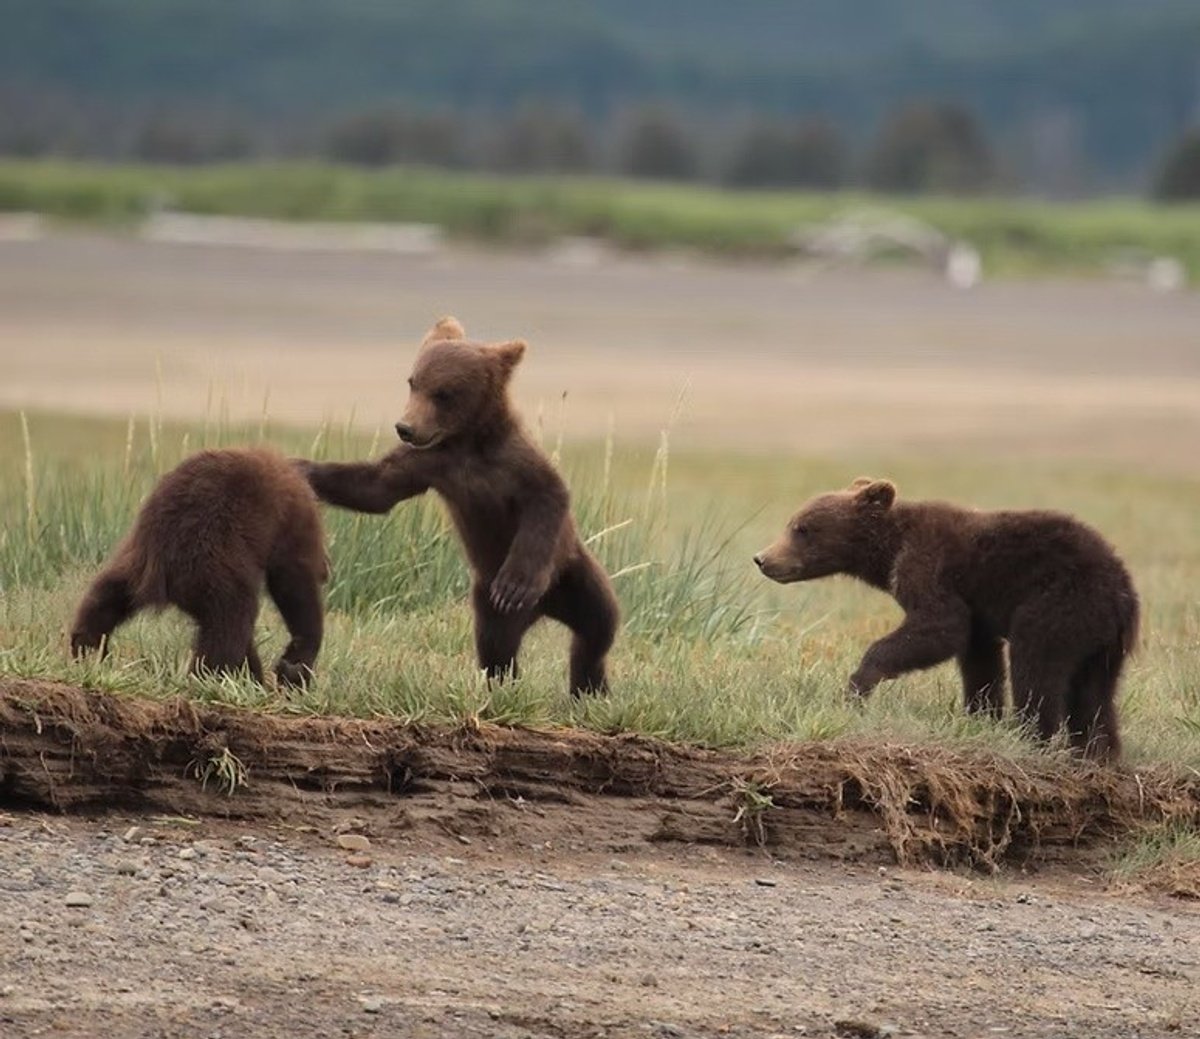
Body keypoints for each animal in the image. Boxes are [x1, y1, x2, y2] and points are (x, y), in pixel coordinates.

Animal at [71, 447, 328, 687]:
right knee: (229, 625)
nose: (327, 569)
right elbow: (294, 582)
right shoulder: (288, 525)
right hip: (214, 565)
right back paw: (212, 678)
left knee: (105, 597)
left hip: (138, 561)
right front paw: (296, 664)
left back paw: (86, 649)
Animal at [294, 317, 619, 696]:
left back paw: (590, 686)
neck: (468, 442)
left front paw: (515, 585)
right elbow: (375, 486)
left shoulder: (513, 461)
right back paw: (506, 684)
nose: (405, 427)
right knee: (497, 648)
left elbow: (548, 495)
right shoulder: (430, 463)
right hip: (487, 603)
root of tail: (542, 611)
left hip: (572, 574)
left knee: (598, 623)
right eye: (413, 382)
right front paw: (300, 467)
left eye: (443, 392)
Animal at [753, 478, 1139, 760]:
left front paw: (858, 685)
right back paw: (1095, 752)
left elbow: (939, 626)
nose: (763, 558)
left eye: (802, 528)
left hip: (1057, 604)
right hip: (1102, 642)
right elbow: (979, 659)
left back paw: (1031, 736)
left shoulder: (929, 565)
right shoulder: (977, 612)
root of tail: (1122, 593)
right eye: (794, 523)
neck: (890, 550)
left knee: (1036, 667)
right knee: (1095, 695)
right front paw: (981, 714)